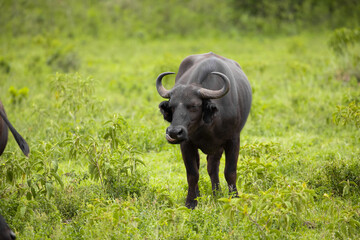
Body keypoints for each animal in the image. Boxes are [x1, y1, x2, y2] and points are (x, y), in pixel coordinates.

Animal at [156, 52, 252, 208]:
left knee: (213, 167)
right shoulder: (186, 144)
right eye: (172, 106)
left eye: (194, 106)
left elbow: (230, 172)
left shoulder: (233, 140)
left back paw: (217, 193)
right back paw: (202, 194)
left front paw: (235, 197)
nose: (174, 132)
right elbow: (192, 174)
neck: (208, 125)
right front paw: (191, 202)